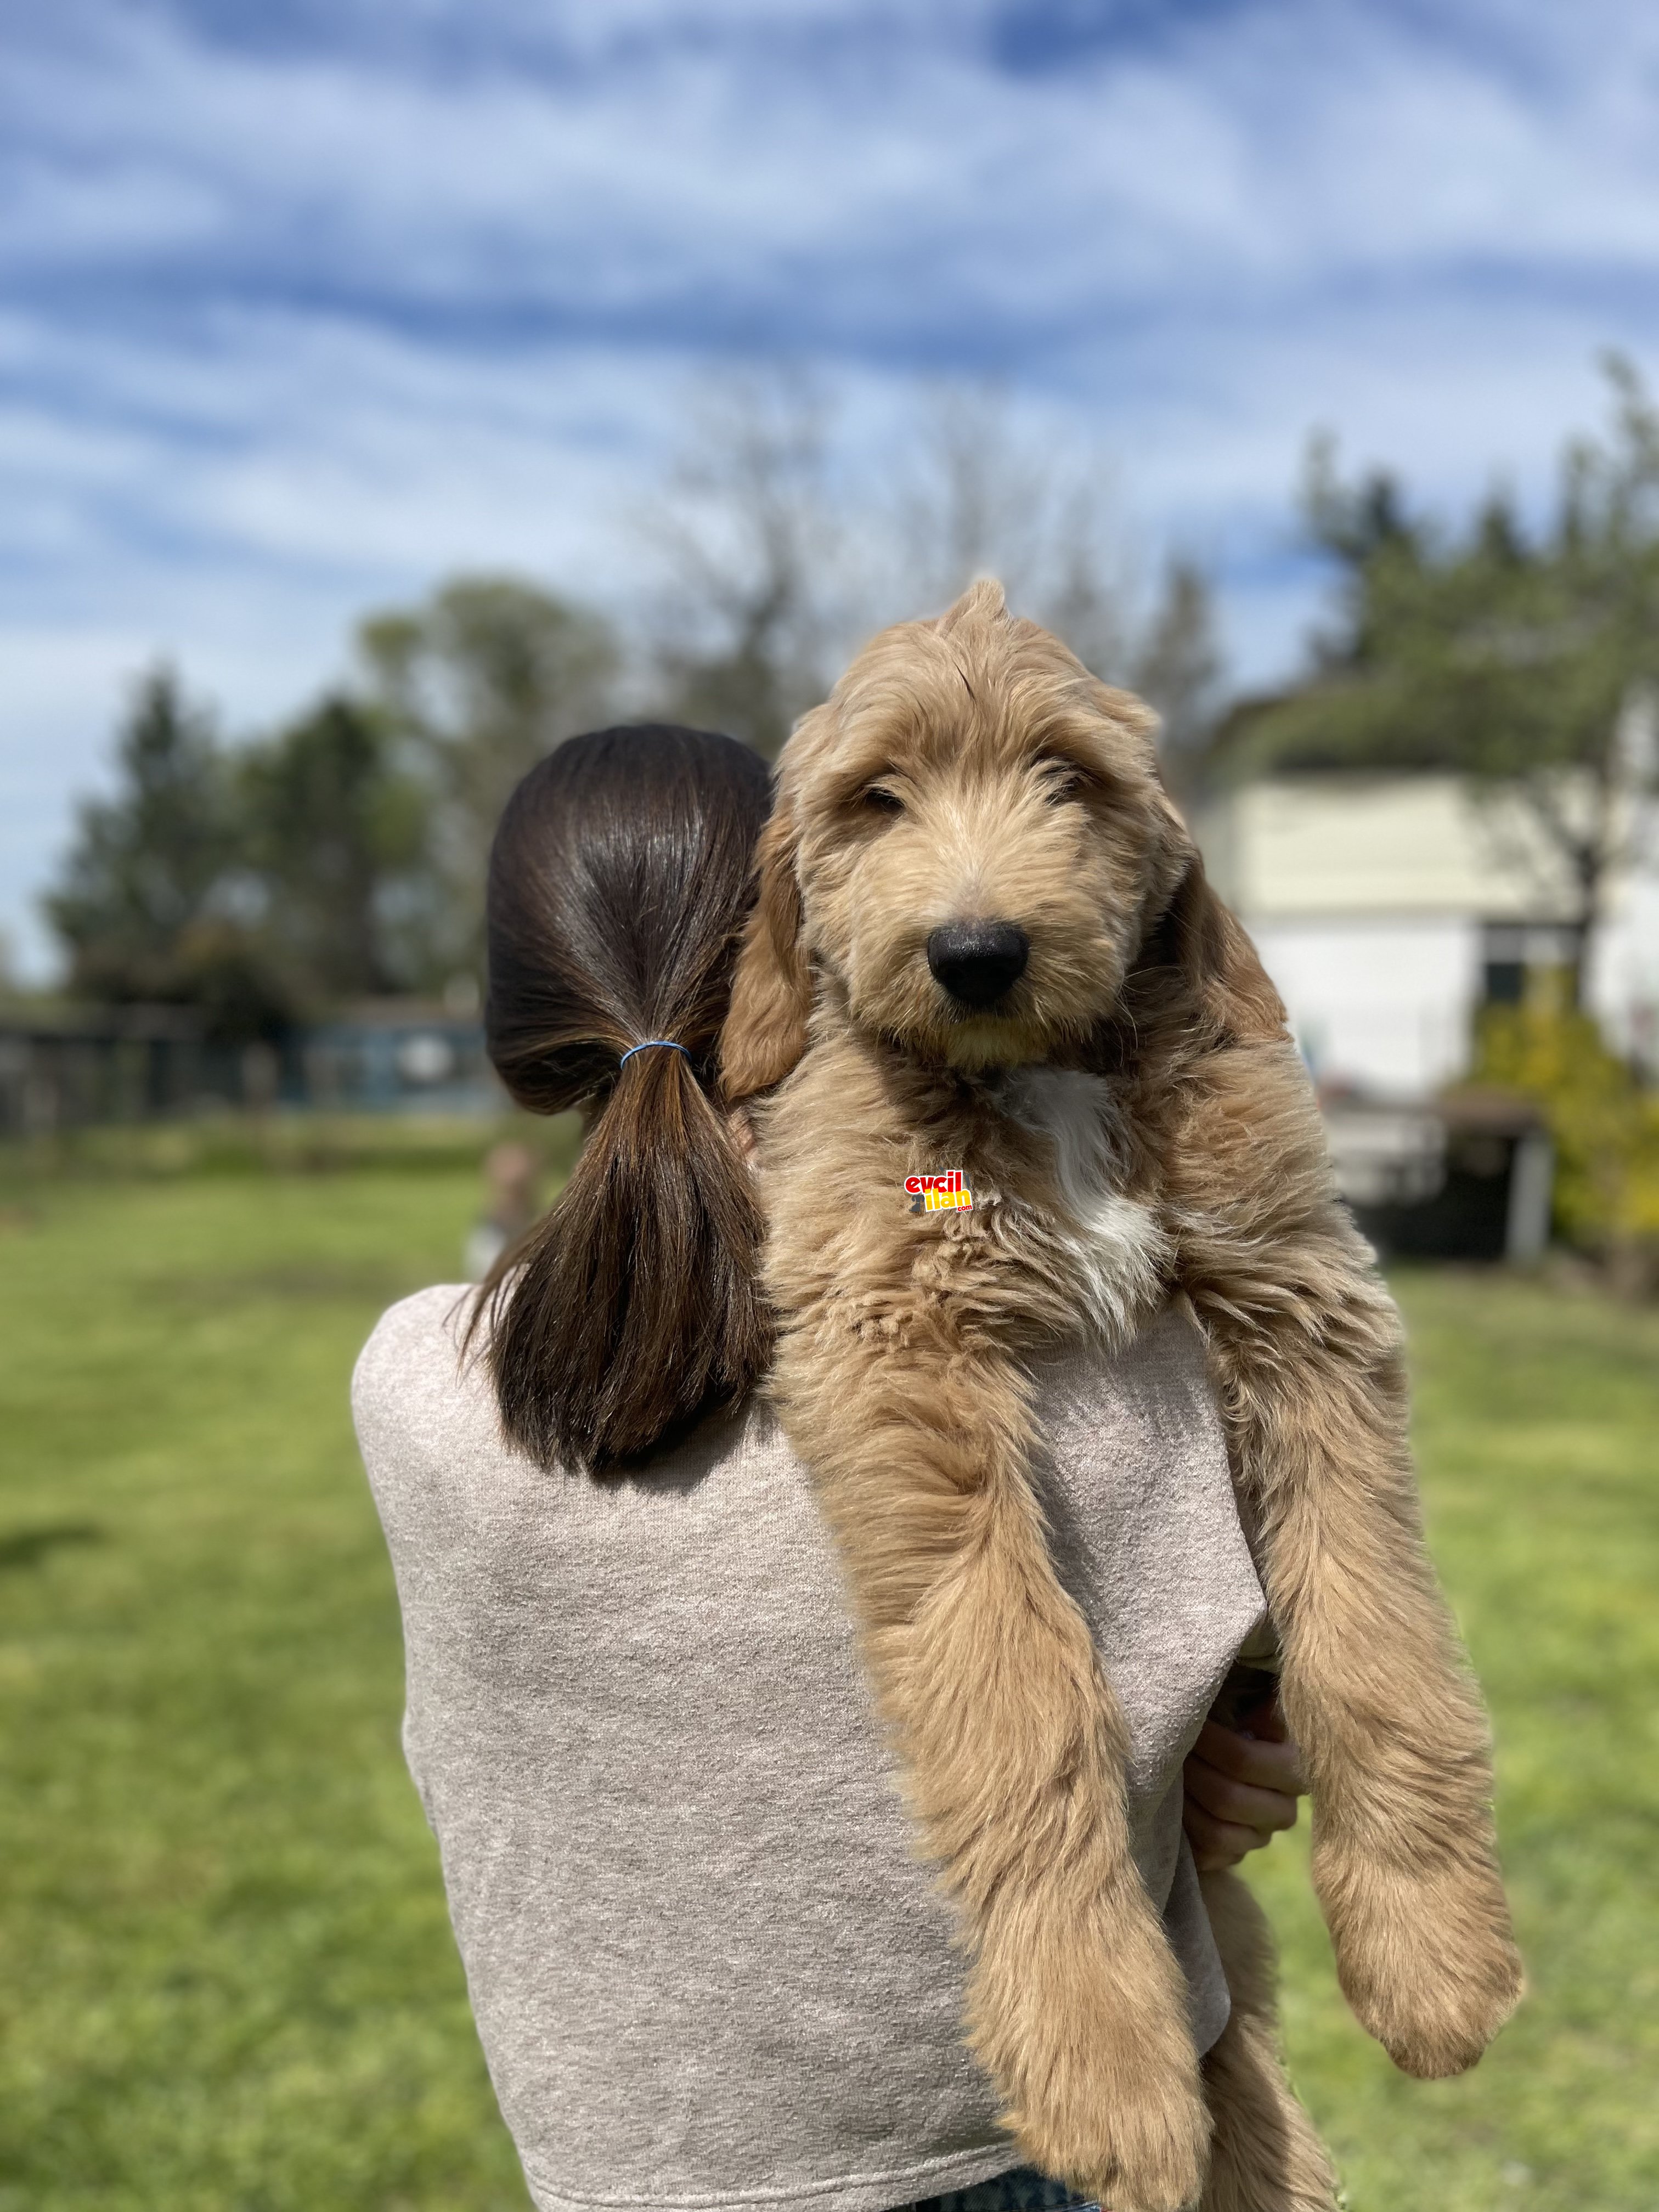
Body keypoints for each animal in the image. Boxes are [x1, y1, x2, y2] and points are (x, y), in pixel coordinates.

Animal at [721, 579, 1531, 2203]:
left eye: (1068, 777)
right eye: (878, 797)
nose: (977, 951)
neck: (1042, 1079)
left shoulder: (1303, 1305)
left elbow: (1378, 1644)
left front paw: (1433, 1954)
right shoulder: (896, 1346)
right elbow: (1019, 1689)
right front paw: (1100, 2056)